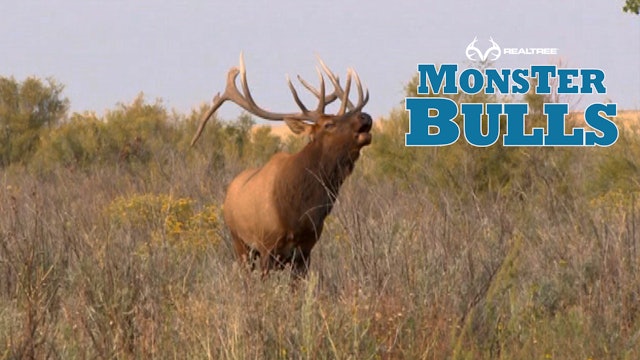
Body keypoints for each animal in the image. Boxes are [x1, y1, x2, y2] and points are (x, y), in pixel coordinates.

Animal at [190, 54, 370, 278]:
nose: (365, 116)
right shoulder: (267, 246)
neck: (298, 210)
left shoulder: (305, 251)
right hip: (239, 242)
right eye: (329, 124)